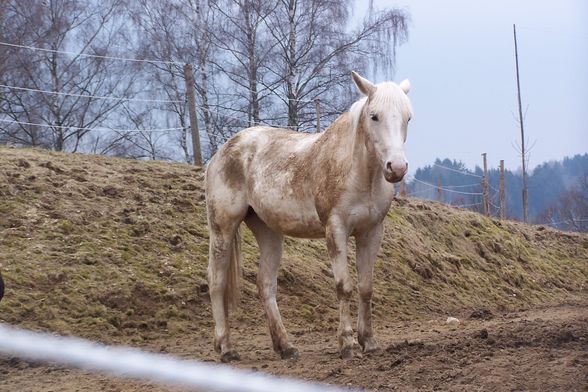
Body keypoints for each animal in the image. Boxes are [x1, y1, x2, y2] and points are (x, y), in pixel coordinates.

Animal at [204, 71, 412, 362]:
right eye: (374, 116)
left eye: (407, 117)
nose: (397, 168)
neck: (357, 172)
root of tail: (221, 153)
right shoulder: (335, 230)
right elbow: (344, 286)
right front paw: (348, 344)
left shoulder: (371, 232)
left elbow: (366, 287)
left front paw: (369, 341)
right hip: (222, 228)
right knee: (217, 281)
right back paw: (225, 348)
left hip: (268, 231)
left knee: (265, 284)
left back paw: (285, 347)